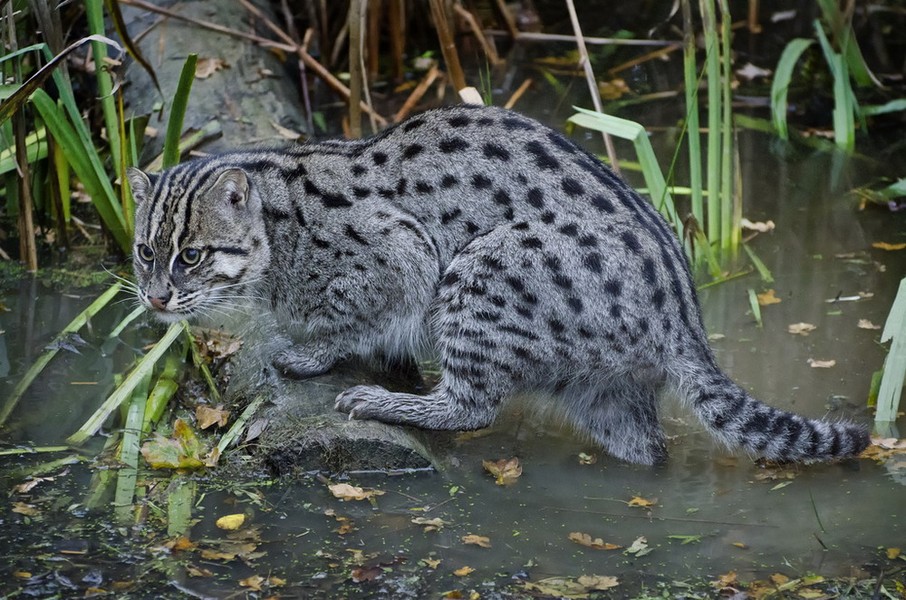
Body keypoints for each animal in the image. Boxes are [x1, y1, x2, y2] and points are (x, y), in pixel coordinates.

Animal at [129, 105, 868, 466]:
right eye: (144, 252)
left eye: (191, 255)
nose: (156, 298)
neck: (274, 222)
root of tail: (683, 316)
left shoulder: (403, 251)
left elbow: (357, 317)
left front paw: (314, 350)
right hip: (602, 387)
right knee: (644, 447)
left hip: (484, 270)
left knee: (472, 406)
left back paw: (396, 402)